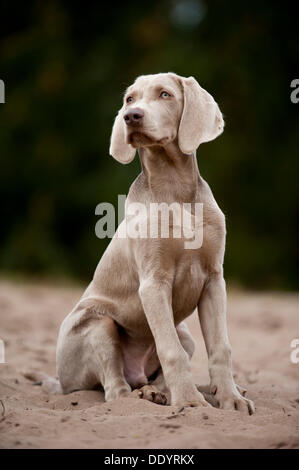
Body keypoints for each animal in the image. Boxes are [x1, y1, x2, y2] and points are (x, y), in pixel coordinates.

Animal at [32, 71, 255, 414]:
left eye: (165, 94)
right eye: (129, 99)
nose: (131, 117)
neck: (175, 189)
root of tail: (61, 381)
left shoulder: (214, 280)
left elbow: (221, 347)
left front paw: (231, 399)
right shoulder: (153, 282)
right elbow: (171, 351)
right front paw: (189, 402)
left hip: (184, 332)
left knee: (161, 369)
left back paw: (167, 392)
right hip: (97, 324)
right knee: (115, 390)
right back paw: (146, 396)